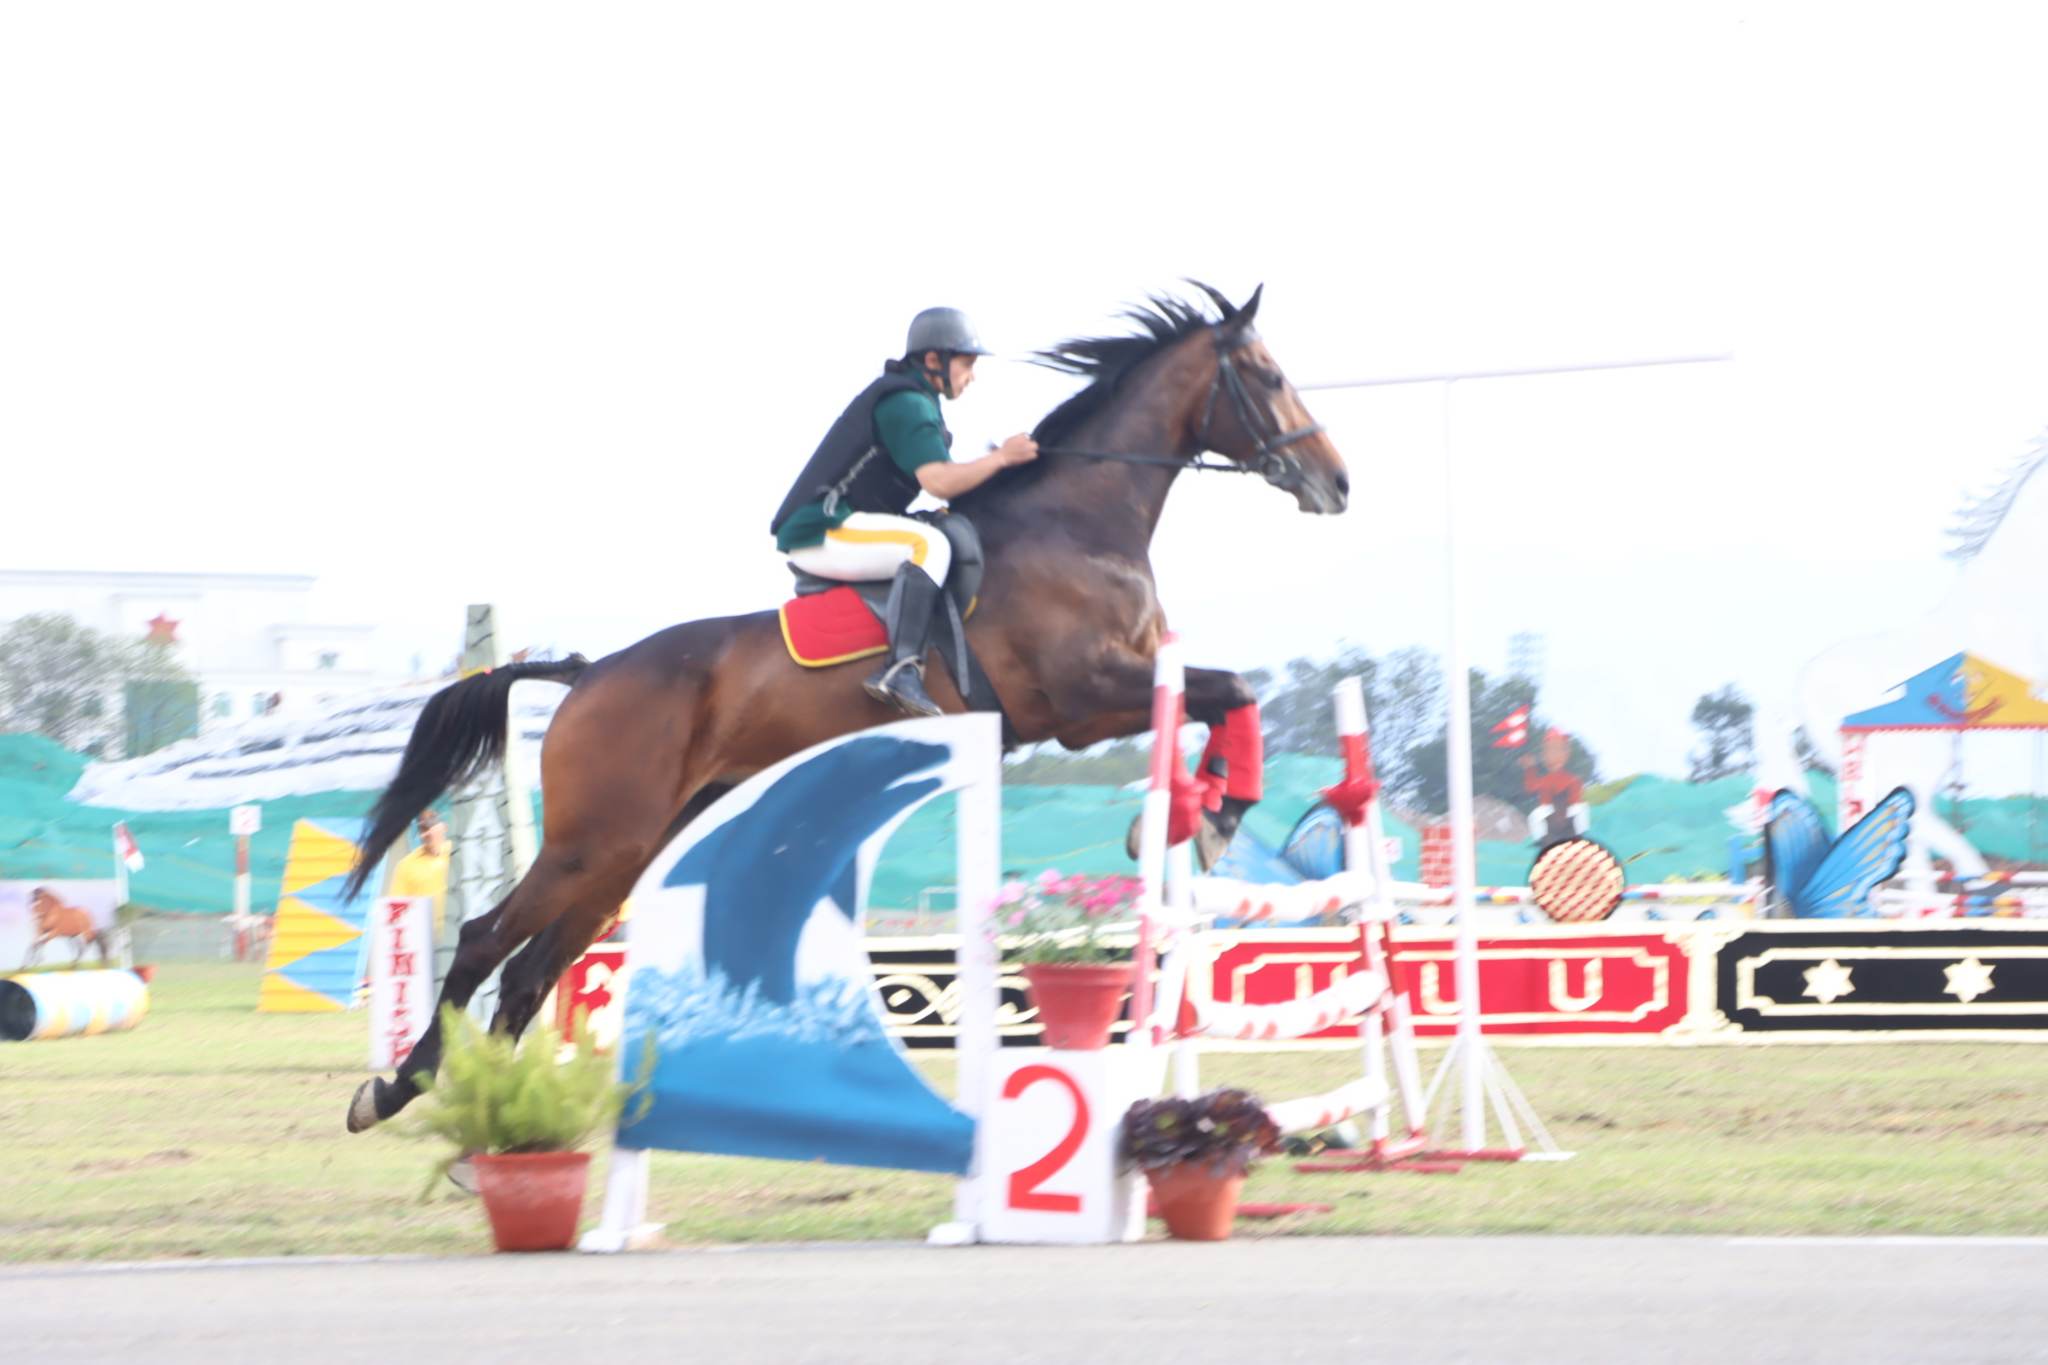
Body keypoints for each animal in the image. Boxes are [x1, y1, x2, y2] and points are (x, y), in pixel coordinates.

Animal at [342, 282, 1350, 1133]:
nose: (1337, 483)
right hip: (597, 836)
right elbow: (1234, 690)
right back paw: (398, 1089)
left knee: (530, 970)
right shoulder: (1083, 701)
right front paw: (1214, 816)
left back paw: (491, 1127)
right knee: (485, 943)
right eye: (1267, 376)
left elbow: (1221, 704)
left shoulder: (1129, 687)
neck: (1077, 524)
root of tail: (588, 674)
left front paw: (1195, 813)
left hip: (628, 850)